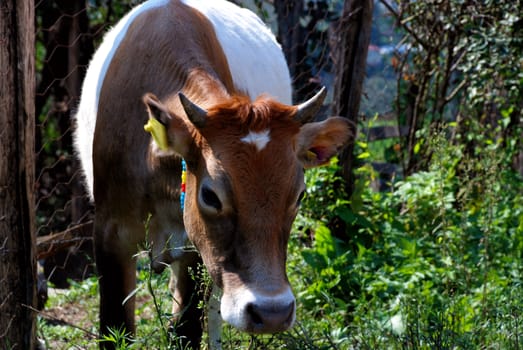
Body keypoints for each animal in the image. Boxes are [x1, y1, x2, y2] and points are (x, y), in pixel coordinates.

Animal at [73, 0, 354, 348]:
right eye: (209, 195)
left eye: (299, 194)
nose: (272, 312)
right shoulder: (111, 234)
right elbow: (116, 330)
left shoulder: (195, 252)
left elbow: (187, 328)